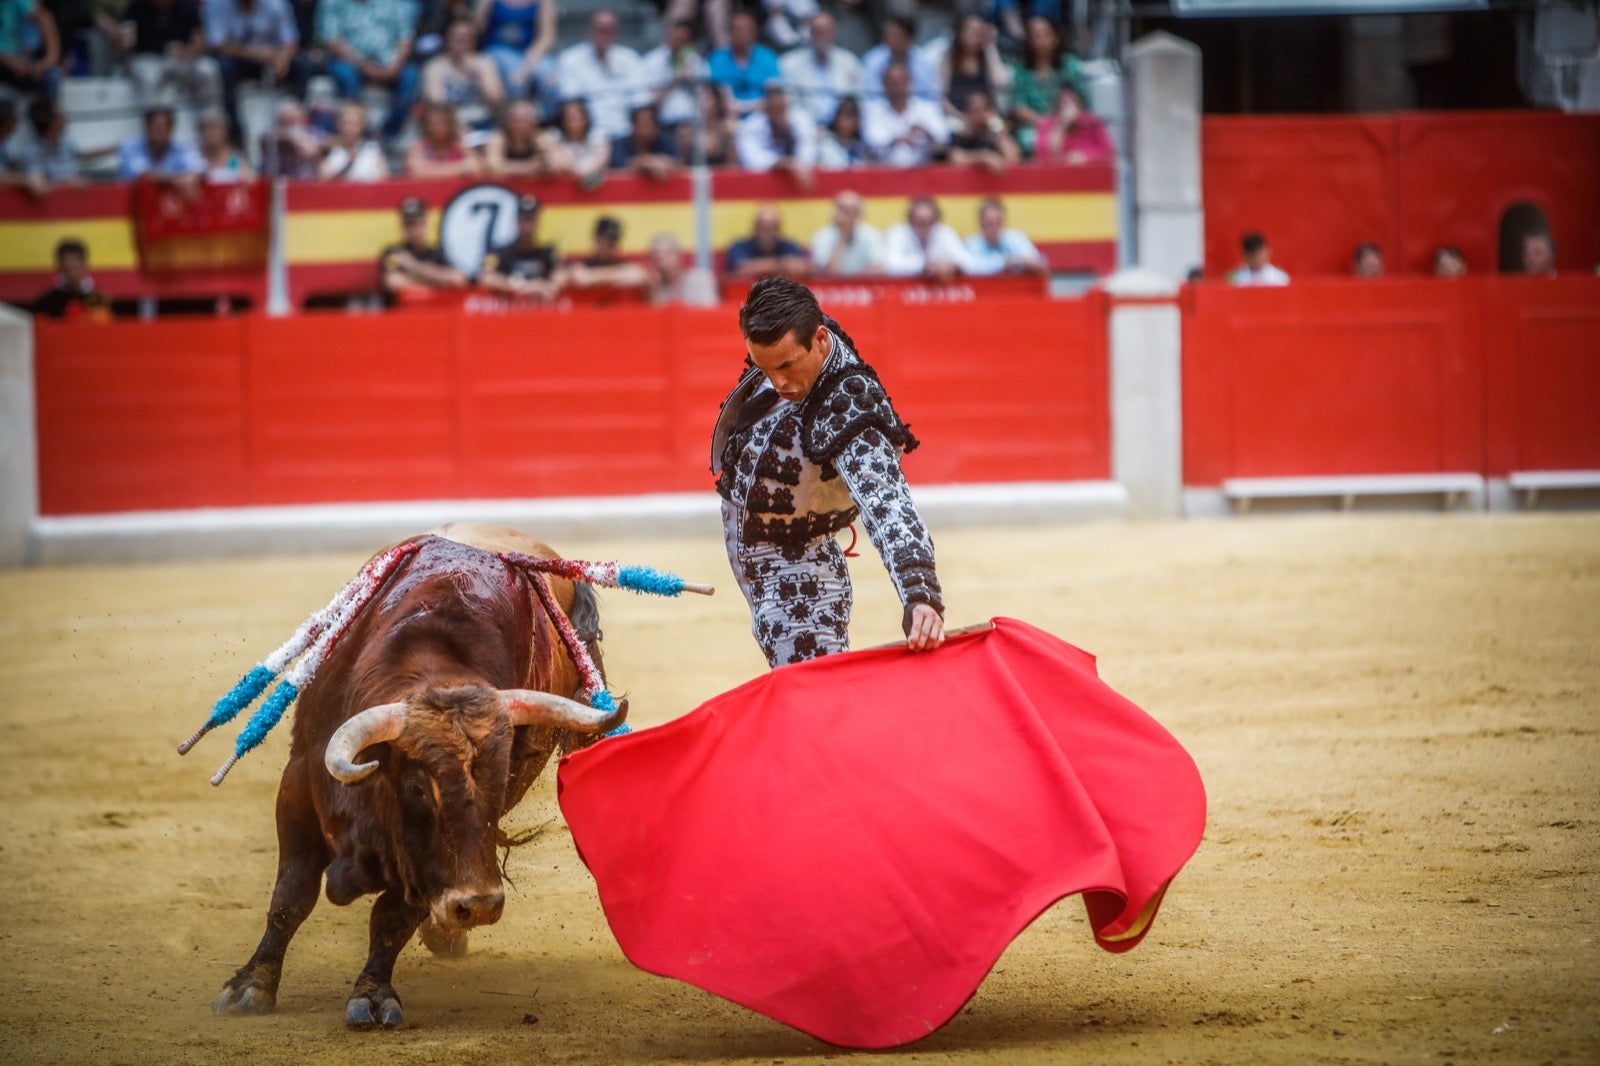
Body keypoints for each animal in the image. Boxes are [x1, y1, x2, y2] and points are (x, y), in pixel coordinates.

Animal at [201, 521, 624, 1024]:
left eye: (500, 783)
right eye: (419, 788)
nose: (478, 905)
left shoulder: (426, 859)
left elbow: (393, 917)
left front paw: (372, 994)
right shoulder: (299, 784)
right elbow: (291, 895)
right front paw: (251, 985)